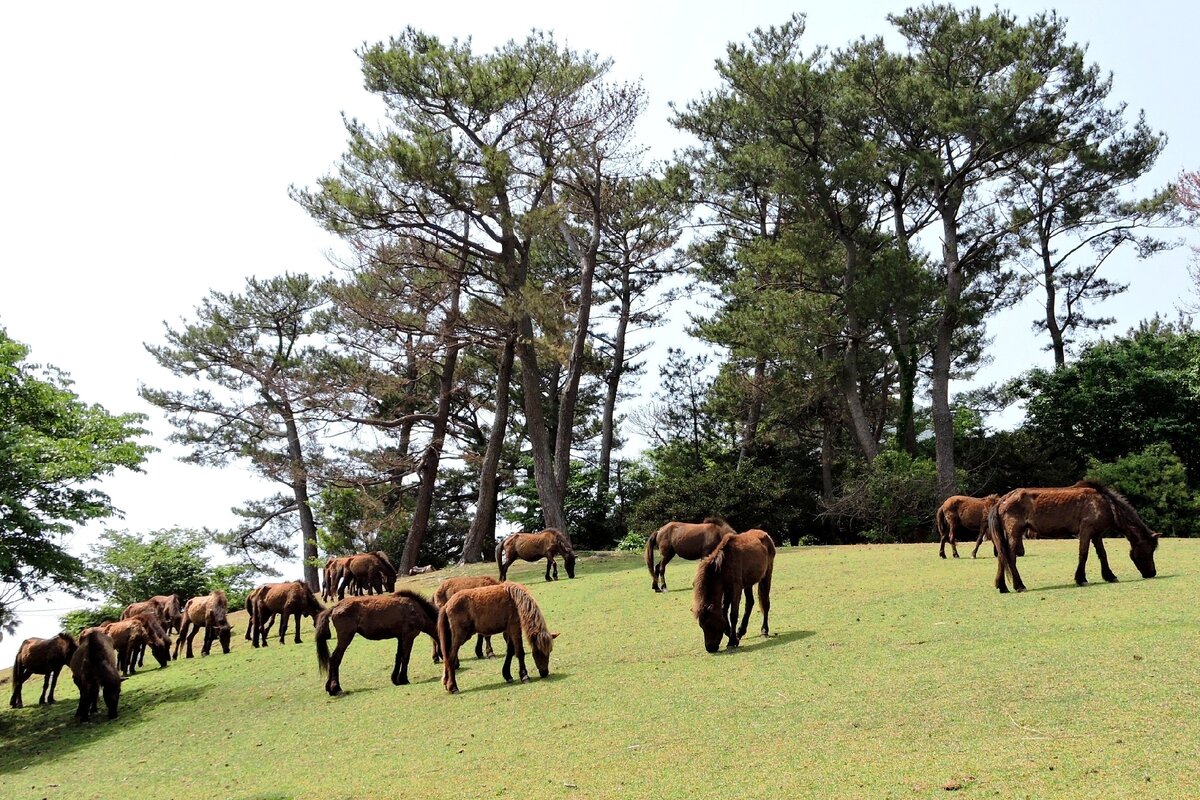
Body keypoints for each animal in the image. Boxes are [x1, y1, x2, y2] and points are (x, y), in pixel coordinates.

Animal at [984, 482, 1161, 594]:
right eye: (1148, 550)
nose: (1152, 573)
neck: (1104, 503)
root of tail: (1002, 499)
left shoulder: (1096, 534)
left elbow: (1102, 555)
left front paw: (1110, 576)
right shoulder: (1086, 531)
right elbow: (1084, 554)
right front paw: (1081, 578)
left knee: (1002, 556)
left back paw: (1002, 586)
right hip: (1015, 532)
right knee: (1010, 557)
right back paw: (1019, 585)